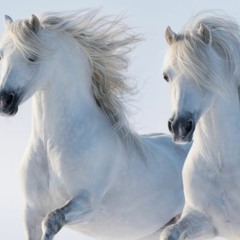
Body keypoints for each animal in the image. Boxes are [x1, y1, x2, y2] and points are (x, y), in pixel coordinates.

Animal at [0, 9, 189, 240]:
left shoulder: (86, 202)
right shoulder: (31, 211)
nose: (4, 101)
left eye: (32, 56)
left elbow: (52, 219)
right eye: (1, 54)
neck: (51, 146)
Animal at [160, 11, 240, 240]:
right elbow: (168, 233)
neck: (221, 166)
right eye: (166, 76)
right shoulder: (201, 219)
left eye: (204, 75)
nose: (179, 127)